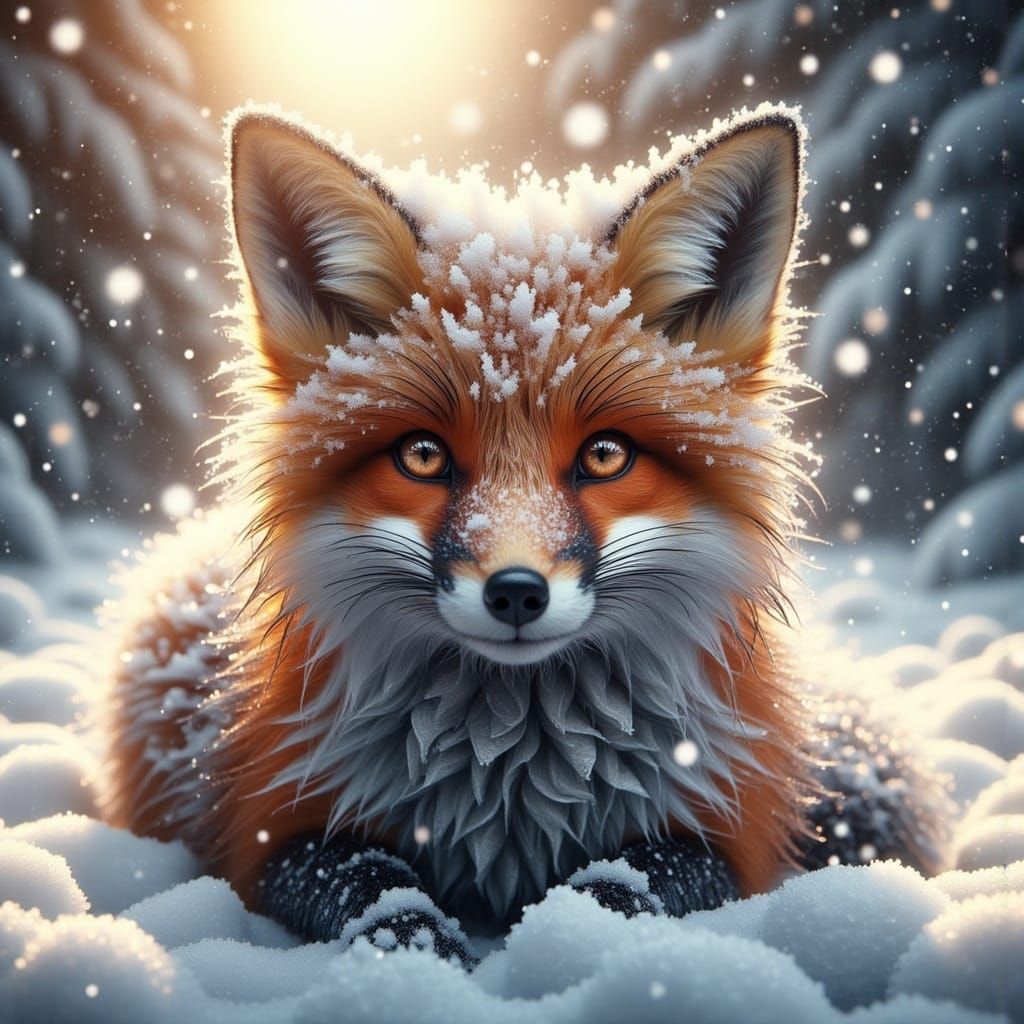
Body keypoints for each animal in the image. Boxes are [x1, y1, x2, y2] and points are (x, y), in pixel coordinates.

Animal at [102, 104, 946, 965]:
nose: (515, 593)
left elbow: (629, 884)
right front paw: (417, 954)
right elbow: (372, 885)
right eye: (422, 455)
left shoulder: (731, 834)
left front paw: (568, 939)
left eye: (605, 455)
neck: (509, 781)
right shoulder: (268, 827)